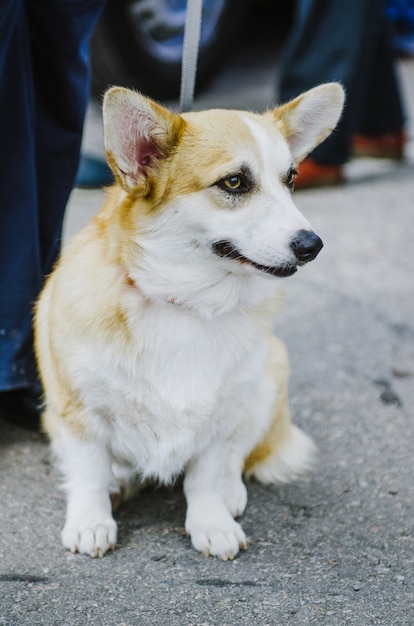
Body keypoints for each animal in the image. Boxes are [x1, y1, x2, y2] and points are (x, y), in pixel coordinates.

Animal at [34, 81, 342, 556]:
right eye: (233, 182)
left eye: (291, 179)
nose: (313, 245)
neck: (186, 300)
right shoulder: (77, 409)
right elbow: (88, 472)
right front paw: (90, 520)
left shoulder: (220, 416)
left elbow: (206, 474)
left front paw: (211, 523)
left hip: (266, 379)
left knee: (237, 455)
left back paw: (231, 492)